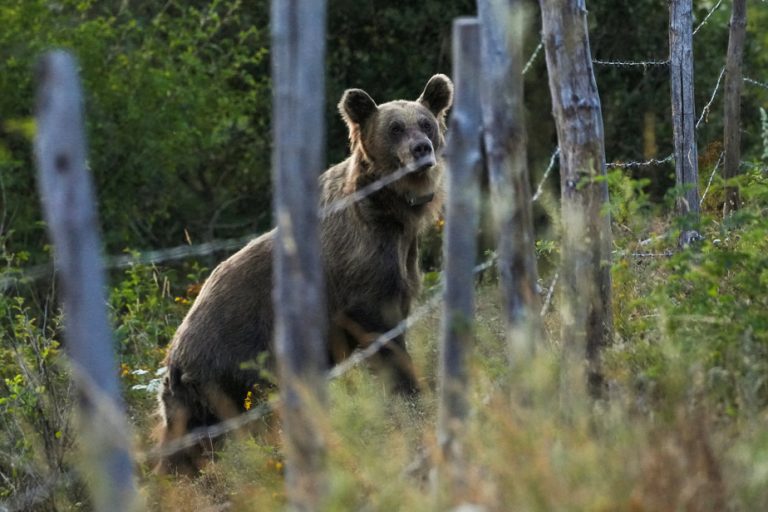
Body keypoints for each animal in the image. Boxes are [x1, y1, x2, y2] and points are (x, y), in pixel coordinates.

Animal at [158, 74, 452, 474]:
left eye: (425, 122)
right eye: (395, 128)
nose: (422, 149)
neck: (390, 212)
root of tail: (173, 355)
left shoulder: (400, 259)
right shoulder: (361, 270)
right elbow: (382, 334)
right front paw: (411, 391)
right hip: (226, 371)